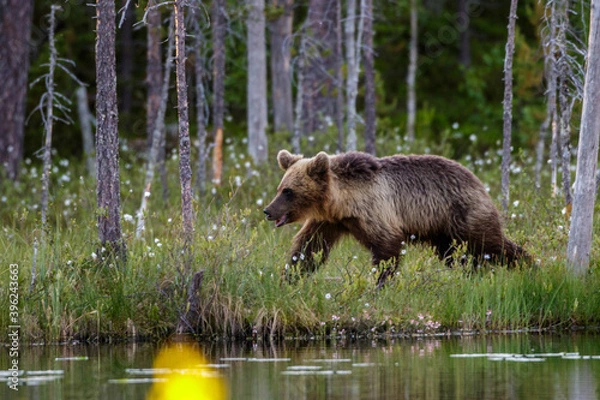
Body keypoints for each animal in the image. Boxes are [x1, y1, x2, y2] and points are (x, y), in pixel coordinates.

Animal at [264, 150, 528, 288]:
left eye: (288, 191)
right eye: (280, 188)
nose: (268, 210)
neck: (342, 203)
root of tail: (477, 180)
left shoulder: (377, 211)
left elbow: (386, 249)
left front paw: (380, 284)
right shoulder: (329, 222)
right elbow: (309, 247)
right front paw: (289, 276)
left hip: (462, 213)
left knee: (491, 243)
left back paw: (528, 264)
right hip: (442, 231)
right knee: (457, 256)